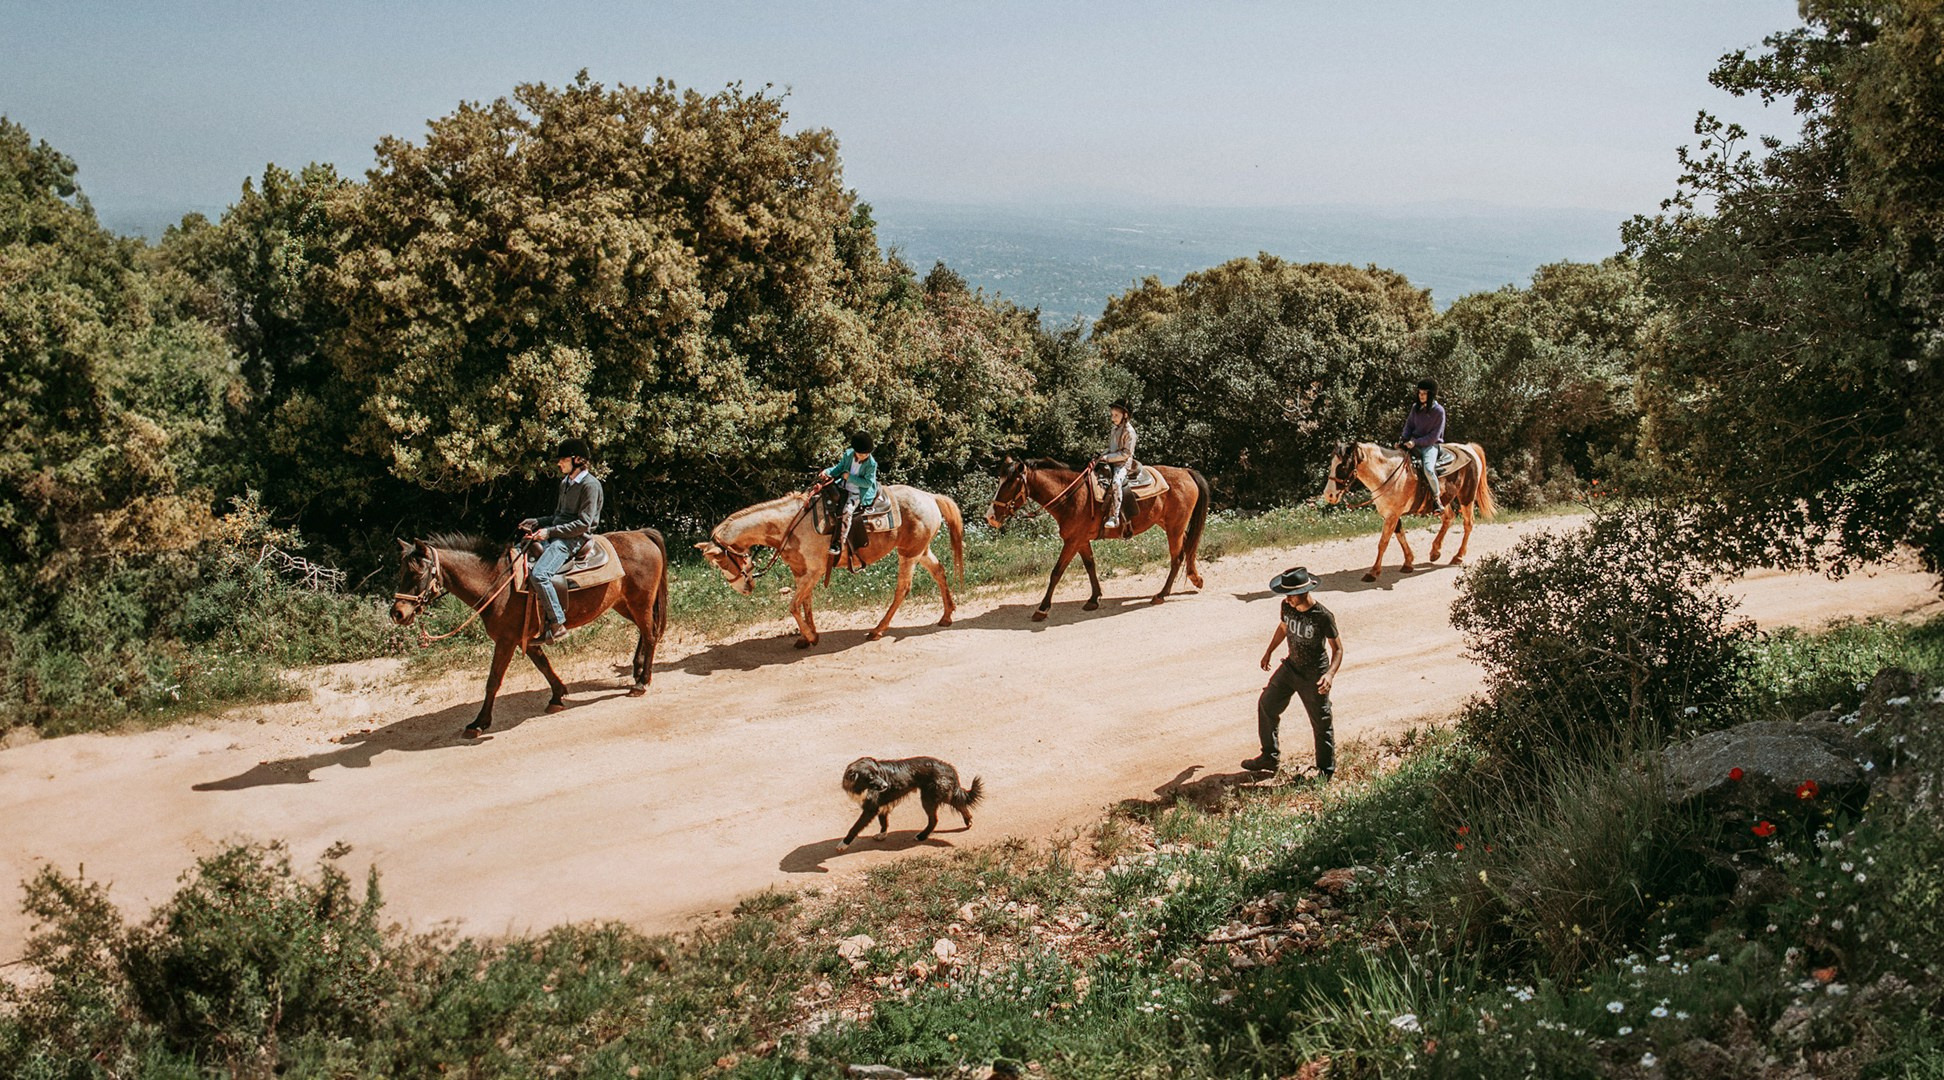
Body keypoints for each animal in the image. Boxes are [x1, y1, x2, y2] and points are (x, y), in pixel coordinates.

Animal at [389, 530, 670, 736]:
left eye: (417, 572)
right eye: (400, 571)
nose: (397, 613)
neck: (496, 582)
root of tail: (642, 534)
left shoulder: (506, 640)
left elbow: (493, 681)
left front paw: (479, 722)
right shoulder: (526, 637)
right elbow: (543, 665)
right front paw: (557, 695)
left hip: (640, 602)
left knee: (651, 635)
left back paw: (641, 682)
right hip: (623, 603)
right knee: (645, 632)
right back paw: (637, 670)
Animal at [695, 484, 965, 648]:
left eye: (722, 560)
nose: (744, 588)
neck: (788, 526)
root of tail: (930, 497)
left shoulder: (813, 572)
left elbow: (793, 606)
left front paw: (810, 636)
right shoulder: (801, 573)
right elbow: (805, 604)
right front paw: (807, 636)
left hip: (908, 555)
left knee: (903, 589)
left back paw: (878, 630)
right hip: (920, 551)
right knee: (939, 571)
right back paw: (946, 616)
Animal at [985, 457, 1210, 621]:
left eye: (1009, 484)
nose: (990, 517)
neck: (1072, 496)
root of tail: (1186, 471)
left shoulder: (1072, 541)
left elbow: (1056, 573)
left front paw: (1042, 608)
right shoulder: (1081, 540)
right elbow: (1090, 566)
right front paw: (1094, 598)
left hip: (1174, 527)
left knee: (1177, 557)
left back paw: (1161, 594)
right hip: (1170, 525)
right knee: (1188, 546)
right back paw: (1195, 578)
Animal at [1320, 441, 1496, 582]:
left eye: (1342, 466)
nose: (1328, 495)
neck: (1387, 474)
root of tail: (1468, 448)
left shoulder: (1392, 515)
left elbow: (1383, 542)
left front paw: (1373, 572)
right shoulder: (1392, 514)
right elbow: (1400, 536)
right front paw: (1408, 562)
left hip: (1466, 497)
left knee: (1468, 524)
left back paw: (1458, 556)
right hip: (1444, 500)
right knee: (1449, 518)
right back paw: (1435, 551)